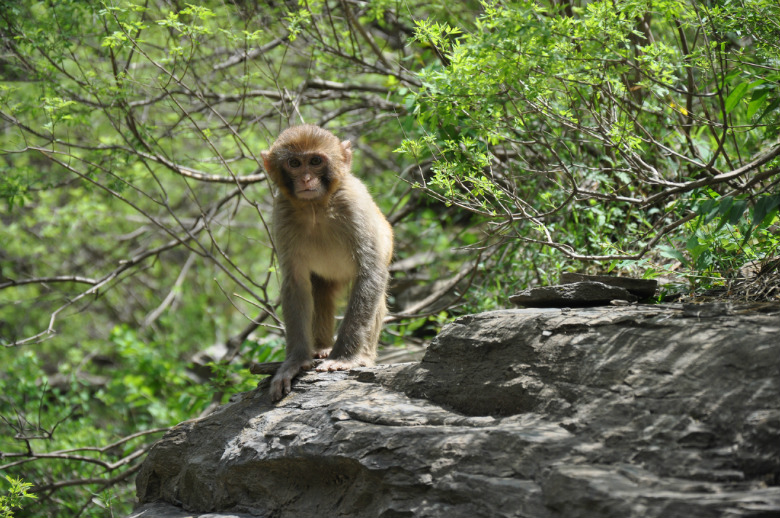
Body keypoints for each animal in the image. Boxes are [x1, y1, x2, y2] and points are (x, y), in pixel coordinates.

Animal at [262, 125, 396, 402]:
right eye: (294, 163)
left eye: (315, 161)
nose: (305, 180)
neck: (316, 206)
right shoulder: (282, 212)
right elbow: (296, 283)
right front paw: (295, 361)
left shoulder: (354, 203)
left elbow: (371, 272)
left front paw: (344, 358)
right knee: (320, 291)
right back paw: (322, 348)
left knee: (374, 293)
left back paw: (363, 356)